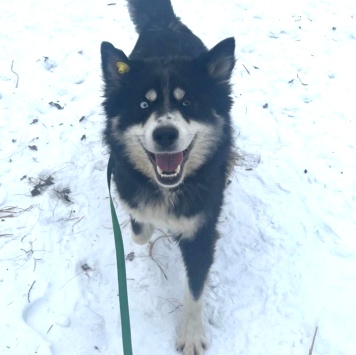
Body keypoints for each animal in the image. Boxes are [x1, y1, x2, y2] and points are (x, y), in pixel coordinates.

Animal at [100, 1, 235, 354]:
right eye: (142, 104)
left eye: (188, 101)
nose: (164, 134)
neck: (168, 189)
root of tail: (165, 24)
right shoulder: (128, 188)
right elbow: (139, 230)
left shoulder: (202, 228)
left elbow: (195, 289)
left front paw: (191, 335)